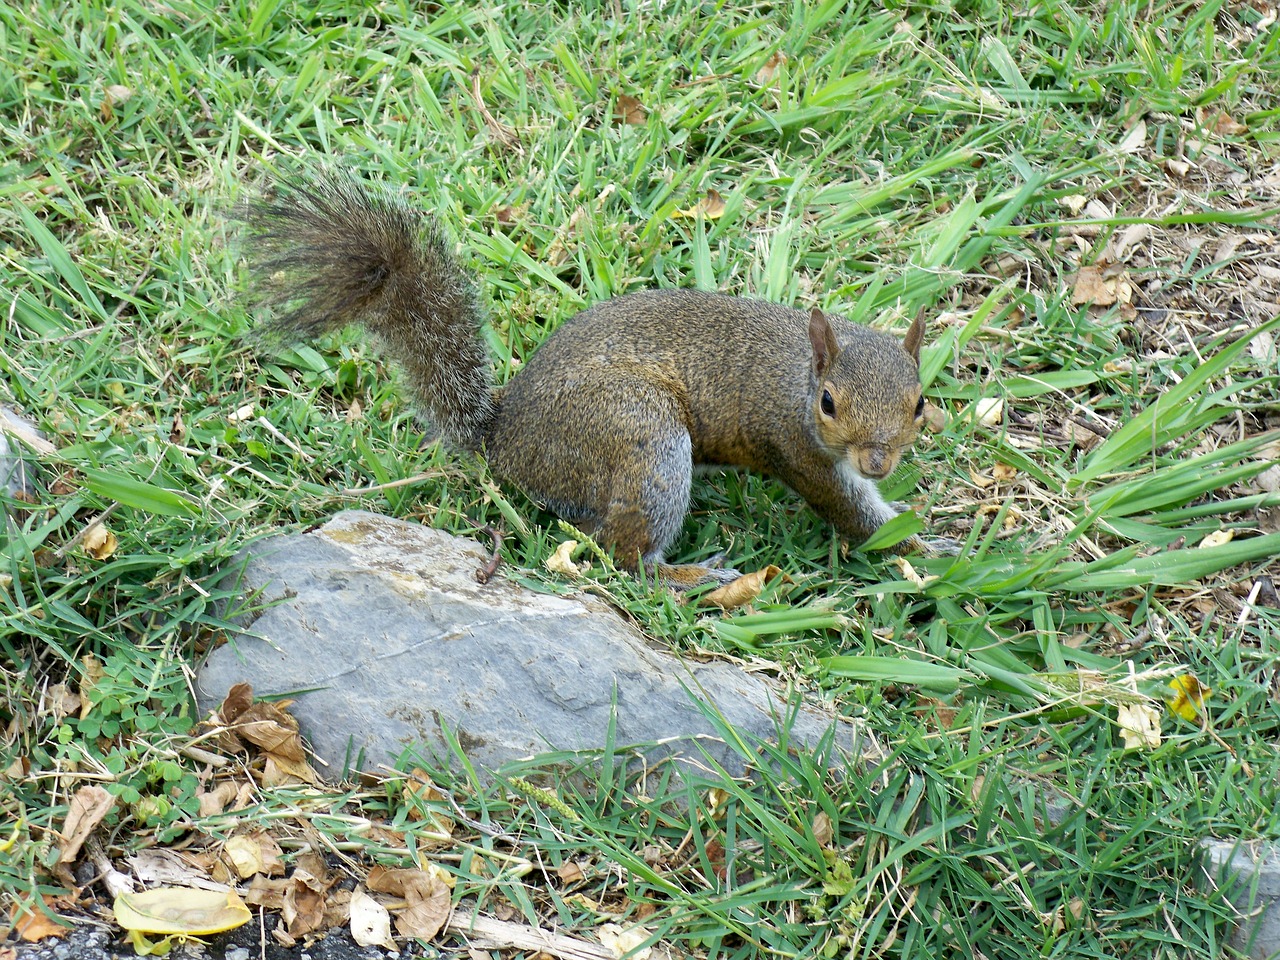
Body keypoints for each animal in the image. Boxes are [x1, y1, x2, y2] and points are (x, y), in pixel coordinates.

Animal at [241, 172, 942, 591]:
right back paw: (690, 576)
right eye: (828, 403)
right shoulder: (798, 449)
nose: (878, 462)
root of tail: (506, 443)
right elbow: (855, 515)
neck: (800, 369)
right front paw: (930, 548)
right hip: (642, 438)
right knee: (625, 556)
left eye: (919, 402)